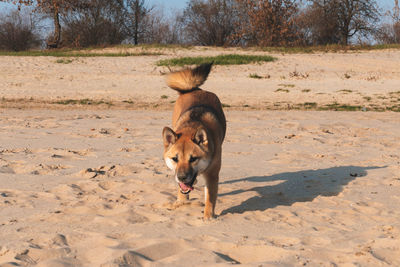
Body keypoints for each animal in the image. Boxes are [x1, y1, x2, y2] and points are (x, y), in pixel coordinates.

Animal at [162, 62, 225, 220]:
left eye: (193, 159)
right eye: (175, 159)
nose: (182, 177)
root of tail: (195, 89)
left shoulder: (212, 174)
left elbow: (210, 198)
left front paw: (208, 217)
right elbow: (181, 192)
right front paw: (181, 202)